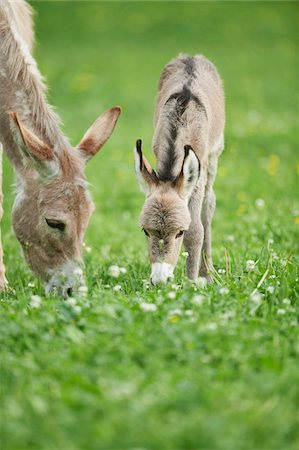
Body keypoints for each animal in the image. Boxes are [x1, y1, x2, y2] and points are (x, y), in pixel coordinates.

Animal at [135, 53, 224, 284]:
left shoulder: (198, 174)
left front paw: (192, 282)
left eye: (179, 233)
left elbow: (196, 230)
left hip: (214, 158)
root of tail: (191, 56)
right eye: (146, 231)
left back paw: (207, 273)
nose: (159, 282)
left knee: (208, 206)